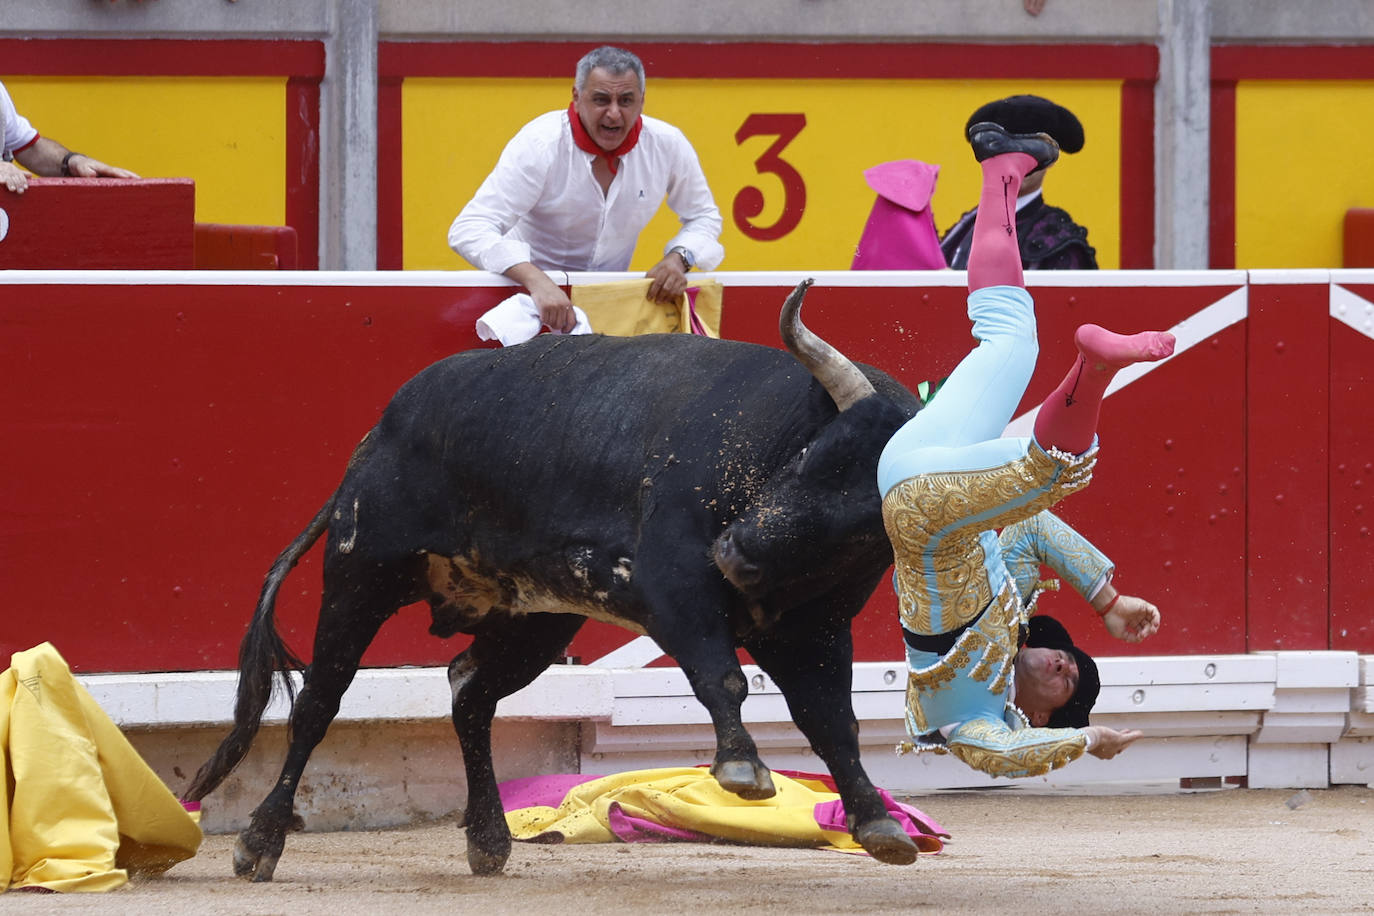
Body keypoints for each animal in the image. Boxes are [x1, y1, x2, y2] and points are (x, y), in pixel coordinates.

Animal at [182, 281, 923, 878]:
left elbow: (833, 719)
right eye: (814, 456)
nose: (734, 555)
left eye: (866, 524)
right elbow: (725, 675)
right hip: (359, 576)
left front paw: (877, 822)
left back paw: (488, 839)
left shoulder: (815, 633)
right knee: (318, 704)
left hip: (535, 622)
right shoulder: (675, 587)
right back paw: (259, 843)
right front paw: (743, 767)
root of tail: (379, 433)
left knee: (470, 697)